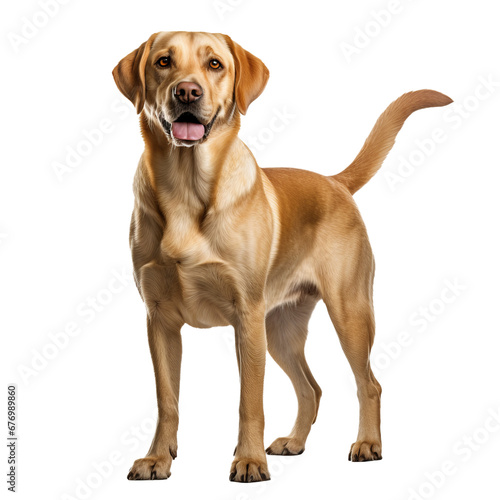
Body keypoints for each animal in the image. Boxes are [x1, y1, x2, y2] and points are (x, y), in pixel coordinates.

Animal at [113, 30, 454, 480]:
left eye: (214, 64)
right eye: (163, 62)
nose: (187, 91)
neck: (186, 188)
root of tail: (334, 181)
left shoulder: (246, 317)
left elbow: (249, 401)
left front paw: (248, 460)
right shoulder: (161, 321)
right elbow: (167, 401)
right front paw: (157, 459)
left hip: (348, 314)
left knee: (369, 384)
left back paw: (367, 443)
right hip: (280, 330)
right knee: (312, 388)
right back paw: (294, 441)